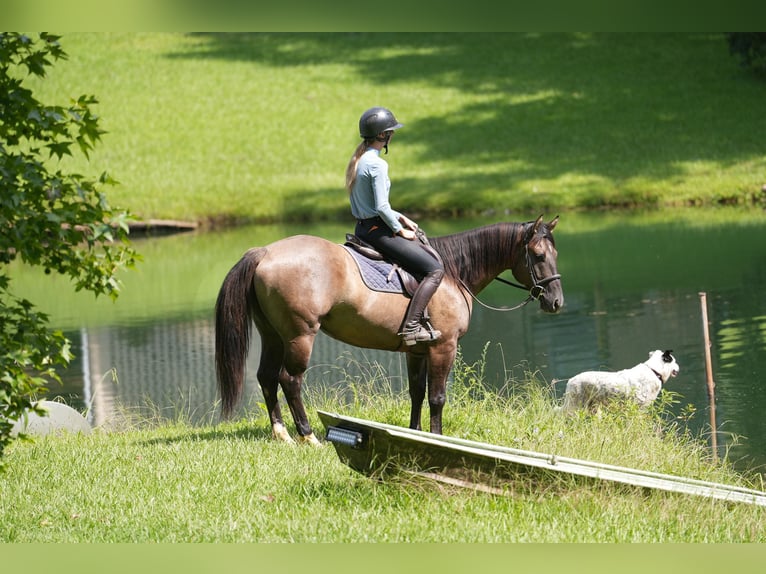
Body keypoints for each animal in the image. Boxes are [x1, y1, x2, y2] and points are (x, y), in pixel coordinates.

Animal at [215, 215, 563, 445]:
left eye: (555, 254)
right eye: (538, 255)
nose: (556, 301)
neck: (453, 273)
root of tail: (265, 252)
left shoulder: (417, 351)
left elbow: (416, 392)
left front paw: (416, 433)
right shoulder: (444, 347)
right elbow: (437, 397)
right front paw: (438, 437)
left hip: (273, 335)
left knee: (266, 377)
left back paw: (282, 433)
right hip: (300, 336)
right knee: (290, 380)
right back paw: (308, 435)